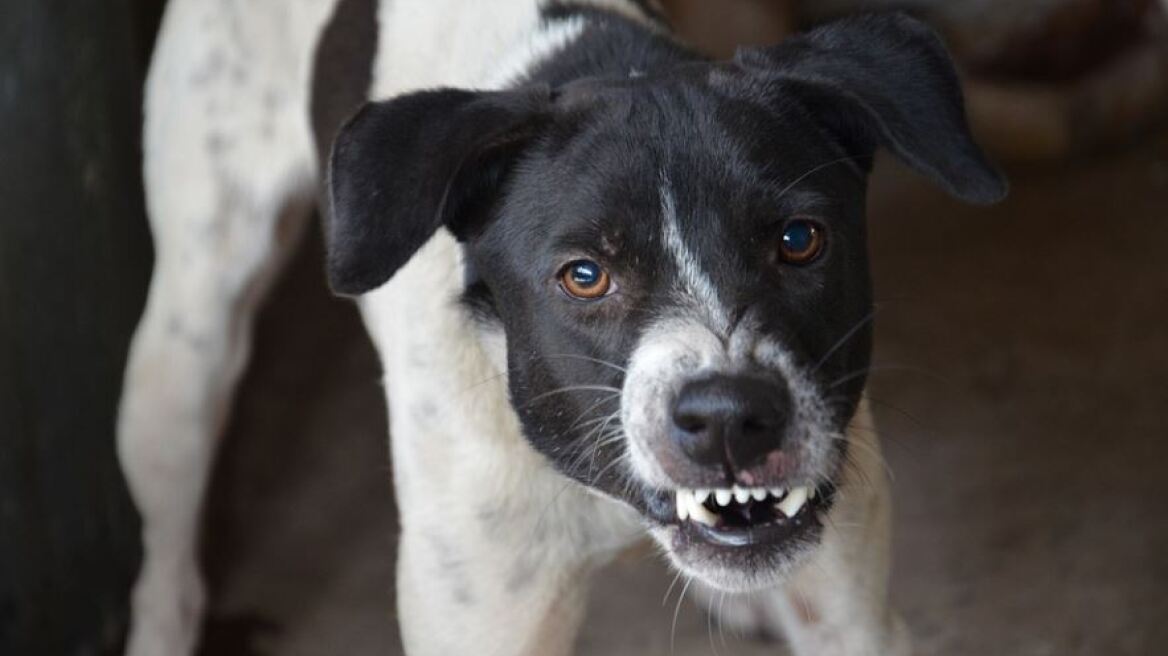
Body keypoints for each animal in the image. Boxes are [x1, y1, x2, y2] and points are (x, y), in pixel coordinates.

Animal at [118, 2, 1009, 648]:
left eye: (799, 240)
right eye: (584, 275)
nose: (730, 417)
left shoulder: (852, 616)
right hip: (185, 346)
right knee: (167, 560)